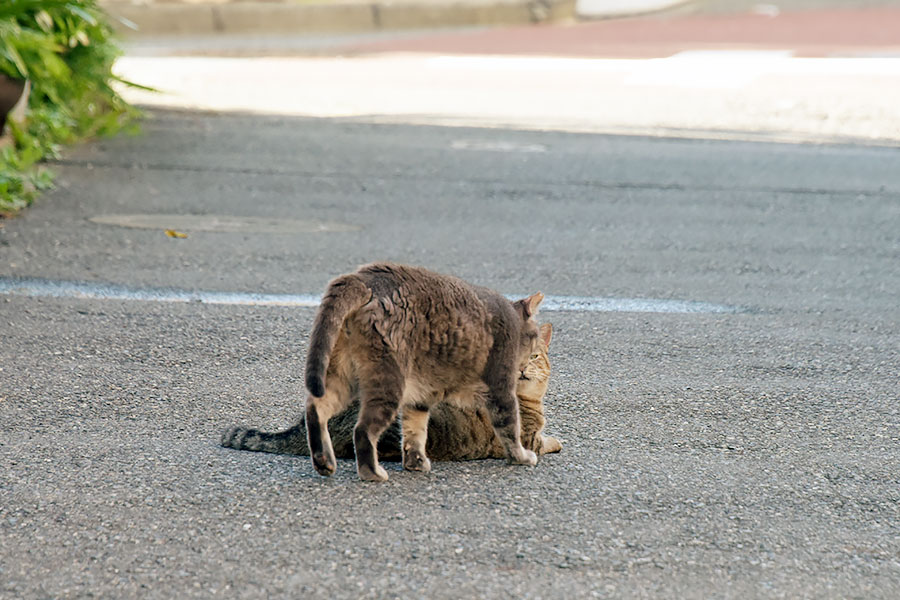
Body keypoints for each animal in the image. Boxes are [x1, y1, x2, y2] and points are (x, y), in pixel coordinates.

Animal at [302, 262, 544, 482]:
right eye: (535, 342)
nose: (526, 366)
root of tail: (362, 277)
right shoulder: (502, 388)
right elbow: (511, 426)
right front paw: (521, 457)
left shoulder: (420, 398)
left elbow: (414, 431)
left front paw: (415, 462)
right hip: (388, 380)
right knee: (362, 430)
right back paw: (372, 473)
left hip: (342, 372)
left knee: (316, 409)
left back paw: (324, 461)